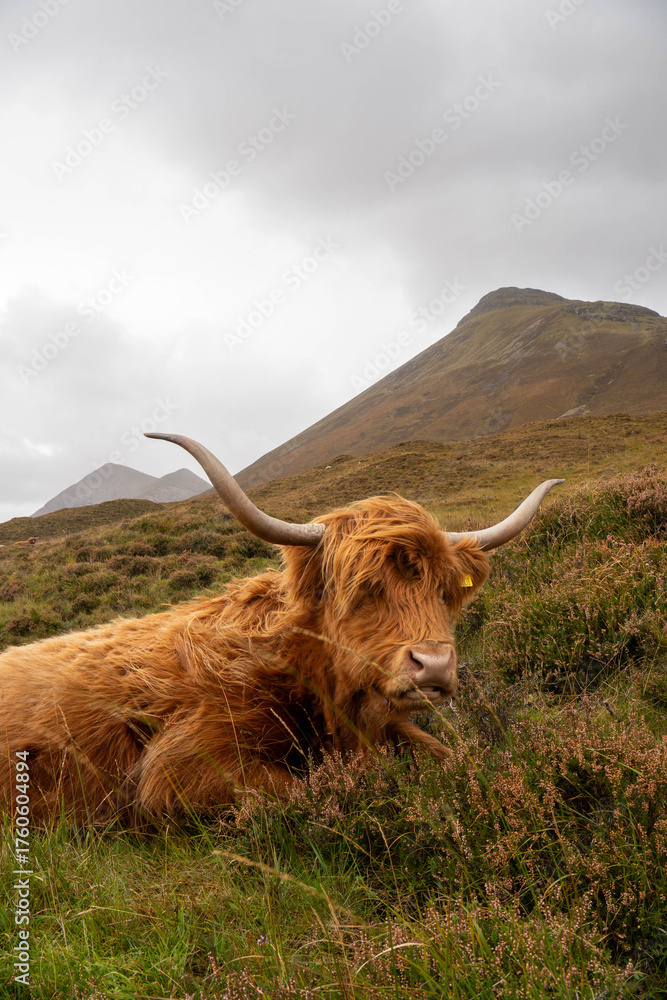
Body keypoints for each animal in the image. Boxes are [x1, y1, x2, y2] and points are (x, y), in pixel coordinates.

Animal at [0, 433, 563, 826]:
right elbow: (304, 790)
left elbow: (452, 756)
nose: (435, 666)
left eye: (445, 592)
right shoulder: (180, 767)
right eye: (364, 588)